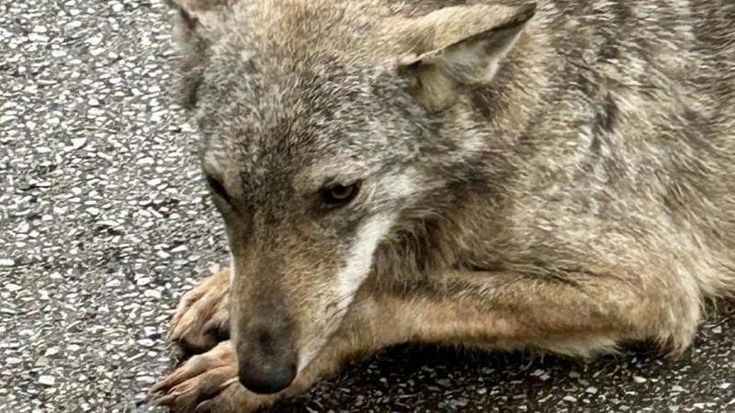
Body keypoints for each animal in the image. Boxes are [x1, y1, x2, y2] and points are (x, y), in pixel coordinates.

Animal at [152, 0, 735, 411]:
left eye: (340, 192)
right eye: (220, 187)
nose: (261, 373)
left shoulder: (647, 289)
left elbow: (387, 297)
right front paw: (223, 290)